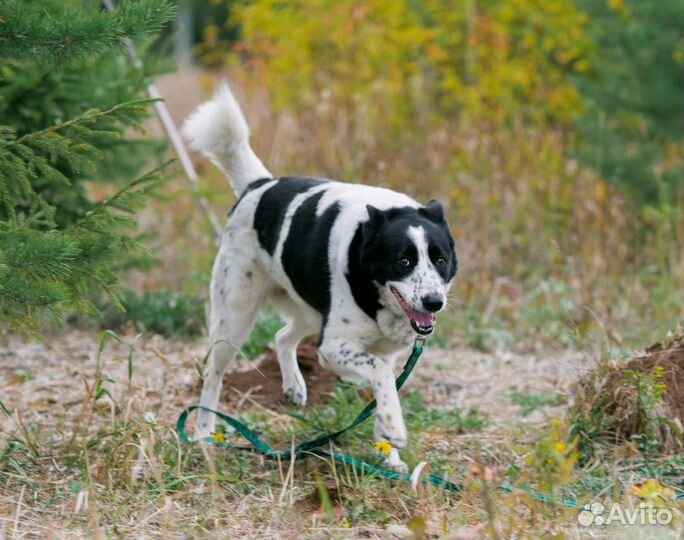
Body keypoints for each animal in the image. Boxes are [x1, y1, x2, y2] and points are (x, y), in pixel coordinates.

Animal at [184, 83, 456, 468]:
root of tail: (258, 185)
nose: (434, 302)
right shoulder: (333, 347)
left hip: (310, 310)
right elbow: (381, 374)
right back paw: (204, 434)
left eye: (441, 260)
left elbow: (384, 383)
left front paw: (388, 453)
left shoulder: (380, 348)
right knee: (213, 374)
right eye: (403, 261)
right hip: (234, 318)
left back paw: (294, 385)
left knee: (283, 336)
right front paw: (393, 428)